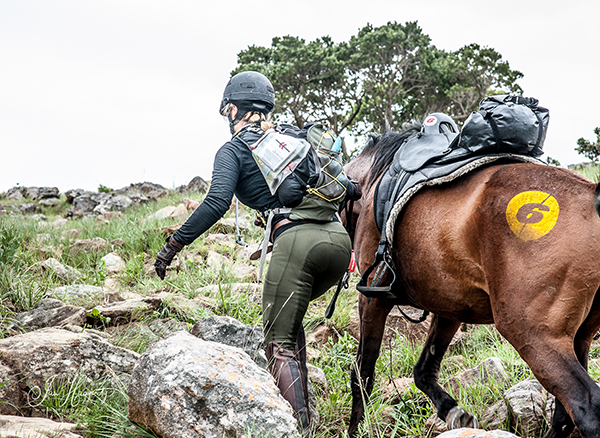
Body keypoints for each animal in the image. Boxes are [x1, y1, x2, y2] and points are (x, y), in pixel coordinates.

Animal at [344, 130, 600, 438]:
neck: (373, 183)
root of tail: (592, 195)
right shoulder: (450, 306)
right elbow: (424, 368)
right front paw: (452, 410)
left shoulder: (372, 299)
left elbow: (362, 374)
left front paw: (355, 428)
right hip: (579, 337)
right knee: (565, 412)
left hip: (534, 335)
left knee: (585, 405)